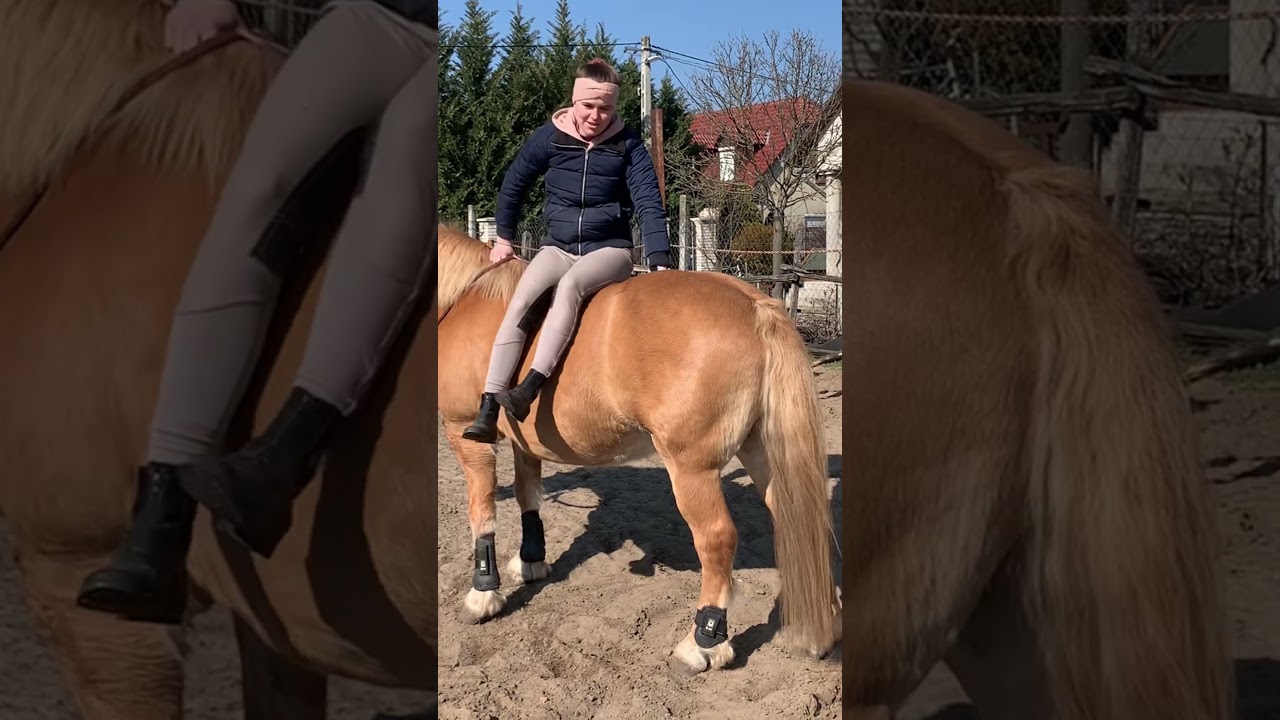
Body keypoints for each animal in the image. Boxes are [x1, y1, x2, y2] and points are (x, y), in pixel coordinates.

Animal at [435, 223, 842, 676]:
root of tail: (755, 307)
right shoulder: (527, 444)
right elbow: (529, 499)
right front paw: (530, 561)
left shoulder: (463, 433)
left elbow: (481, 513)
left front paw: (482, 594)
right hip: (762, 450)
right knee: (801, 518)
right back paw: (823, 626)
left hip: (691, 468)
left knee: (717, 539)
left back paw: (703, 642)